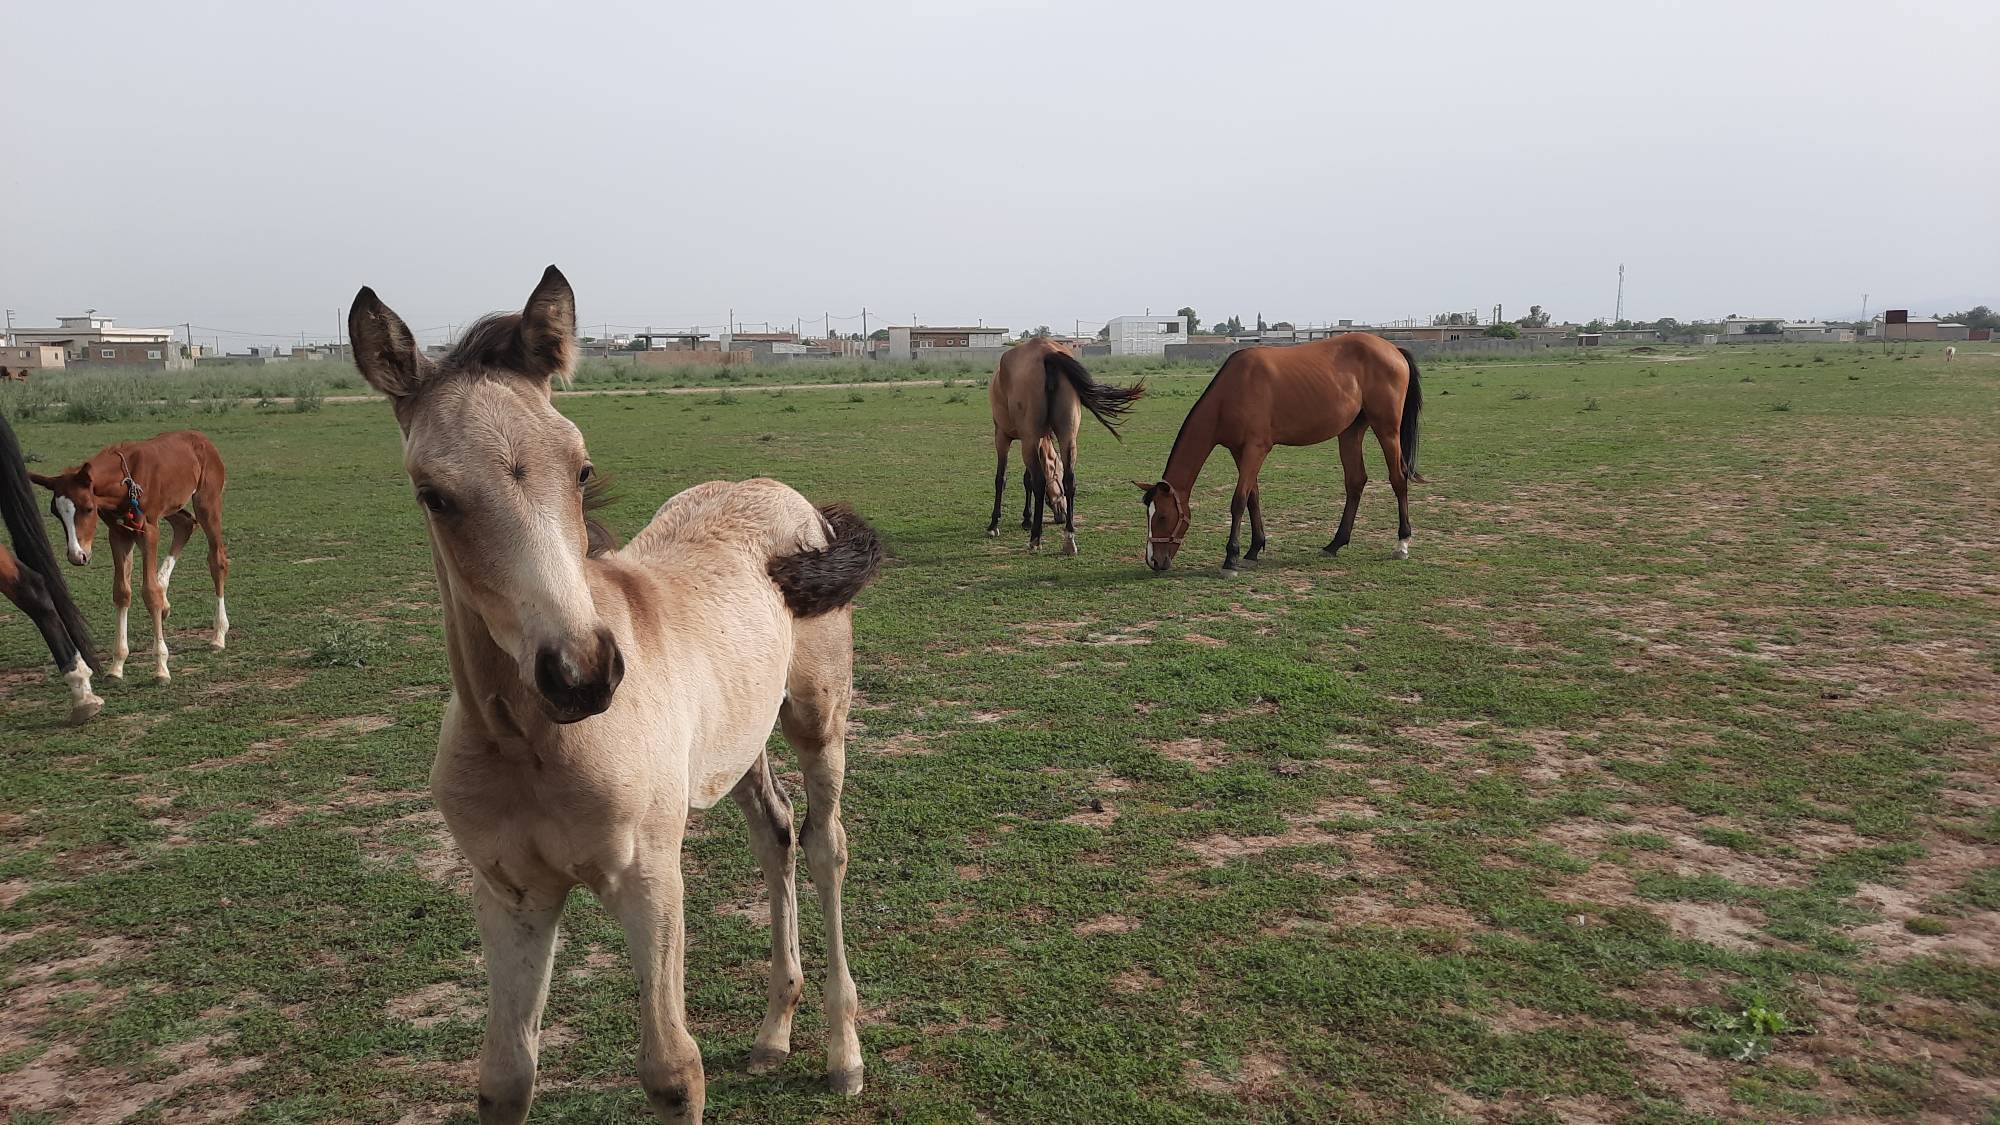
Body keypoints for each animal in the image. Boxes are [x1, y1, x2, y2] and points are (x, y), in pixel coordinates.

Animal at [29, 426, 229, 672]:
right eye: (56, 512)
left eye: (88, 508)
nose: (77, 555)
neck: (125, 484)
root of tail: (201, 438)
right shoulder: (119, 534)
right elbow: (122, 592)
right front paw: (117, 665)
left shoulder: (148, 531)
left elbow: (149, 592)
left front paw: (161, 666)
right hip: (172, 507)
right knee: (185, 525)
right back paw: (165, 599)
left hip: (206, 502)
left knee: (217, 560)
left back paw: (218, 634)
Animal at [352, 266, 884, 1112]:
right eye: (433, 493)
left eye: (580, 467)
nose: (580, 671)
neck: (527, 742)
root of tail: (792, 499)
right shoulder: (510, 894)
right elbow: (505, 1076)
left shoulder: (648, 878)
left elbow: (672, 1069)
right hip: (736, 741)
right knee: (775, 833)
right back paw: (773, 1032)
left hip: (816, 717)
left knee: (825, 844)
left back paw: (843, 1052)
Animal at [984, 336, 1144, 556]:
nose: (1060, 516)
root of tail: (1047, 352)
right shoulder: (1036, 440)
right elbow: (1027, 479)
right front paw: (1027, 519)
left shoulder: (1005, 437)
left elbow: (1003, 479)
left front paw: (994, 524)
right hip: (1067, 437)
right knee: (1071, 481)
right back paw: (1069, 538)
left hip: (1028, 438)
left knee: (1040, 482)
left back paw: (1035, 539)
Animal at [1144, 332, 1424, 568]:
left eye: (1163, 517)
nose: (1154, 561)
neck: (1233, 391)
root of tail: (1393, 349)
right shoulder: (1239, 451)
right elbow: (1253, 497)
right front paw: (1253, 549)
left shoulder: (1256, 449)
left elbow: (1238, 500)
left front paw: (1231, 557)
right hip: (1350, 432)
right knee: (1355, 482)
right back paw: (1334, 544)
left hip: (1387, 430)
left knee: (1398, 479)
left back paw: (1402, 544)